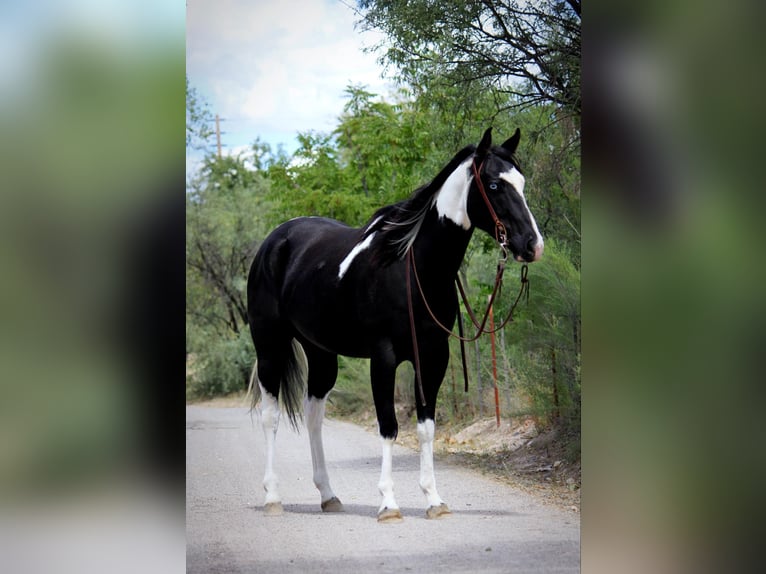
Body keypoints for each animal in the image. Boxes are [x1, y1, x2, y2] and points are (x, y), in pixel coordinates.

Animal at [246, 127, 543, 522]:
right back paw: (273, 497)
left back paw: (328, 495)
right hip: (270, 347)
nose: (532, 245)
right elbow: (388, 427)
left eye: (521, 182)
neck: (412, 267)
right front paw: (388, 502)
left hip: (321, 353)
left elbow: (426, 428)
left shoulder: (433, 357)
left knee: (314, 416)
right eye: (494, 185)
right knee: (270, 417)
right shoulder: (384, 358)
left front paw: (433, 499)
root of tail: (274, 242)